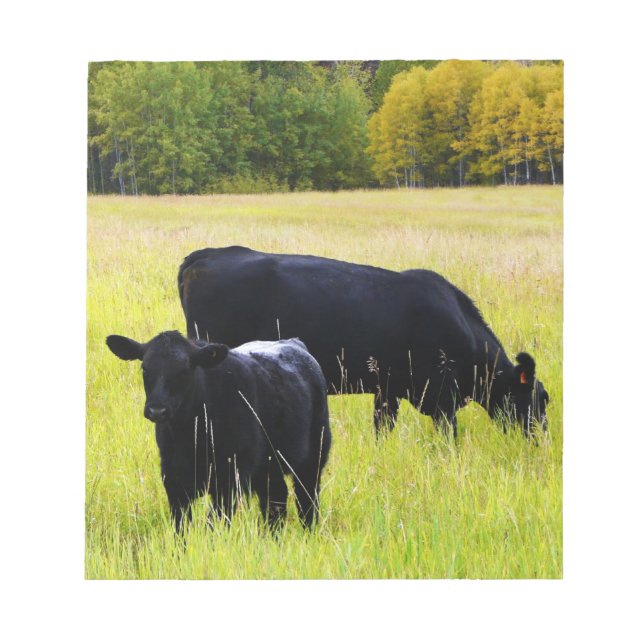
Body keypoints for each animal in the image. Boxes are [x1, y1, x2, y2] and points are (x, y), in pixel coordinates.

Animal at [106, 331, 331, 533]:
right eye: (144, 368)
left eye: (184, 370)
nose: (157, 410)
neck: (192, 438)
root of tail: (294, 342)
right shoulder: (173, 480)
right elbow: (181, 529)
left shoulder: (229, 481)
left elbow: (214, 526)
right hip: (268, 467)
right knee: (276, 501)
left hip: (314, 457)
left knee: (306, 500)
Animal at [178, 246, 550, 440]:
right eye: (541, 399)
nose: (542, 438)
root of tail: (206, 255)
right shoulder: (441, 398)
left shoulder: (388, 390)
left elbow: (382, 428)